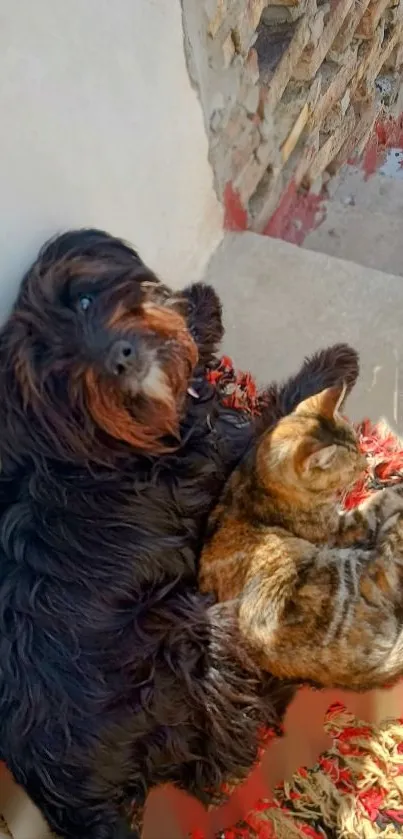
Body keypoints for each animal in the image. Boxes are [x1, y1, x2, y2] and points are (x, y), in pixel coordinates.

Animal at [0, 226, 360, 836]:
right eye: (57, 368)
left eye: (85, 301)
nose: (118, 357)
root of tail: (72, 798)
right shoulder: (233, 470)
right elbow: (274, 427)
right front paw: (329, 369)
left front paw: (198, 308)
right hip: (193, 639)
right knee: (230, 750)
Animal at [201, 384, 403, 692]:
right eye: (352, 467)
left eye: (359, 446)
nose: (366, 462)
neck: (260, 481)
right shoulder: (342, 529)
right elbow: (378, 502)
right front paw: (393, 490)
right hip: (350, 569)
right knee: (389, 564)